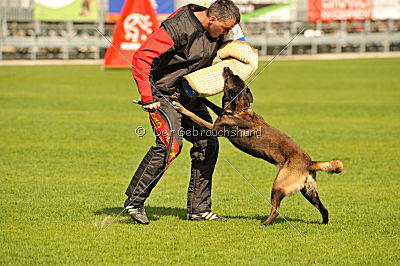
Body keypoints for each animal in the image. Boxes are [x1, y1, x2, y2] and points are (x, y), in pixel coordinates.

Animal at [173, 67, 344, 225]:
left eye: (229, 78)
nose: (226, 67)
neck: (240, 110)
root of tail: (309, 162)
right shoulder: (222, 112)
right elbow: (212, 105)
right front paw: (196, 97)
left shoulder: (214, 128)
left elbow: (194, 116)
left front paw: (180, 106)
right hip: (309, 191)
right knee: (323, 208)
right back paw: (324, 222)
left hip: (279, 185)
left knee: (276, 209)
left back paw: (265, 223)